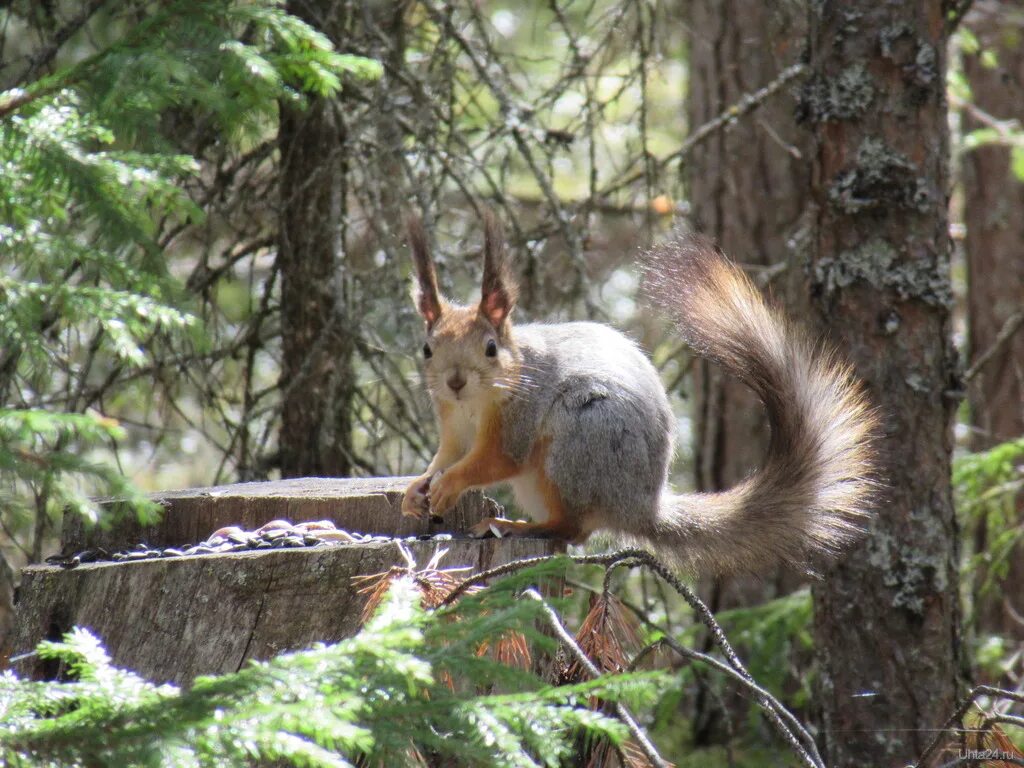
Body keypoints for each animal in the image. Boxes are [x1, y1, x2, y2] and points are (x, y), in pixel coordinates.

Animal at [399, 214, 880, 573]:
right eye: (426, 348)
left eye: (490, 348)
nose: (455, 381)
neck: (473, 406)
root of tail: (641, 507)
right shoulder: (452, 427)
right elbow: (445, 457)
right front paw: (416, 488)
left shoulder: (517, 415)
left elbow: (495, 459)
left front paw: (450, 484)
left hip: (579, 442)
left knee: (573, 528)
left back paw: (518, 526)